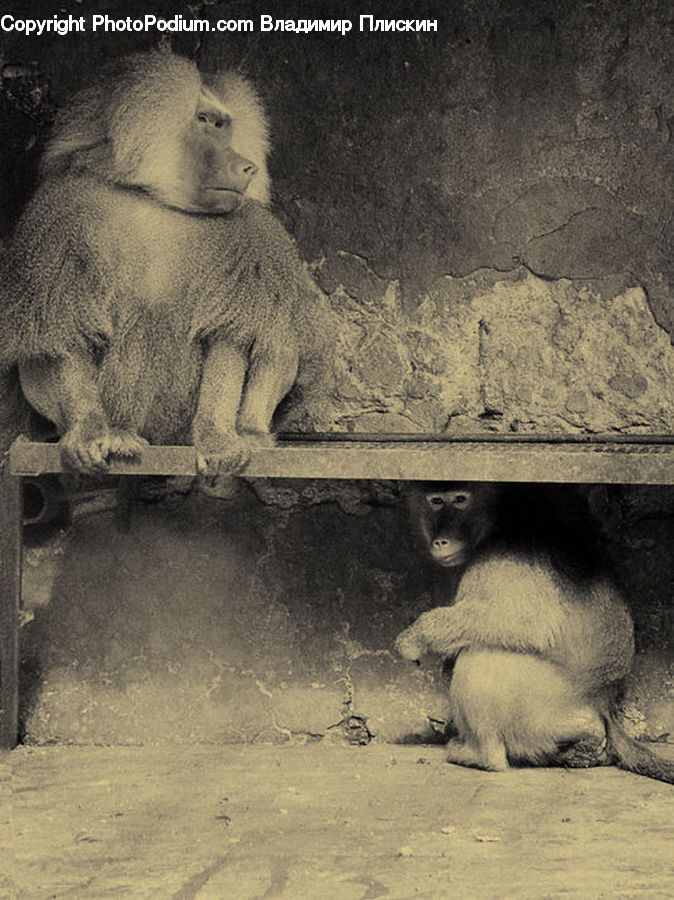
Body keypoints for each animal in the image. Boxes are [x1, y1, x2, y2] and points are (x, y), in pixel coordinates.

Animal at [0, 47, 328, 476]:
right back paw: (118, 434)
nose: (247, 168)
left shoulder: (250, 234)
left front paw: (219, 440)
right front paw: (87, 434)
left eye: (224, 126)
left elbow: (231, 335)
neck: (156, 198)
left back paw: (251, 433)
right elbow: (65, 328)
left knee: (277, 328)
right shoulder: (61, 214)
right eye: (205, 121)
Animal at [395, 482, 674, 784]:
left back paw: (481, 756)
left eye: (459, 499)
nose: (441, 540)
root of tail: (602, 702)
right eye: (435, 501)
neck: (500, 519)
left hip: (545, 705)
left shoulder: (506, 555)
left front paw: (415, 638)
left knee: (481, 657)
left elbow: (529, 623)